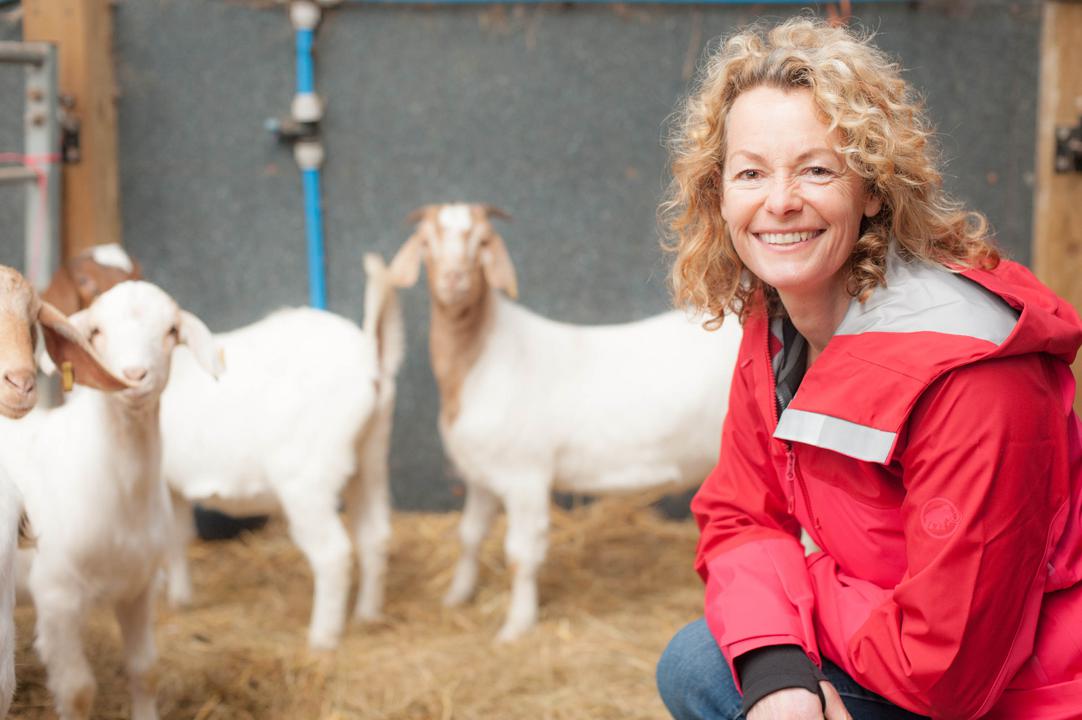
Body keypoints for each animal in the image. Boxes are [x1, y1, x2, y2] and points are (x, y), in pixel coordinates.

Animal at [3, 280, 219, 720]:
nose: (134, 376)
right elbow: (78, 690)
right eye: (97, 332)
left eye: (172, 331)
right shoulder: (57, 596)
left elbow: (145, 669)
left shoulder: (140, 587)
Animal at [161, 253, 405, 650]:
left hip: (307, 481)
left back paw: (322, 637)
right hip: (371, 460)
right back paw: (368, 615)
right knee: (375, 537)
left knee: (333, 553)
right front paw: (180, 599)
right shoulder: (173, 487)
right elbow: (179, 536)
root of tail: (369, 355)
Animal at [390, 203, 741, 641]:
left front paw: (516, 627)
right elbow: (469, 535)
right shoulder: (480, 475)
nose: (454, 279)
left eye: (484, 242)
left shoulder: (524, 477)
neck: (480, 359)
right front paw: (456, 597)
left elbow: (520, 554)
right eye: (425, 242)